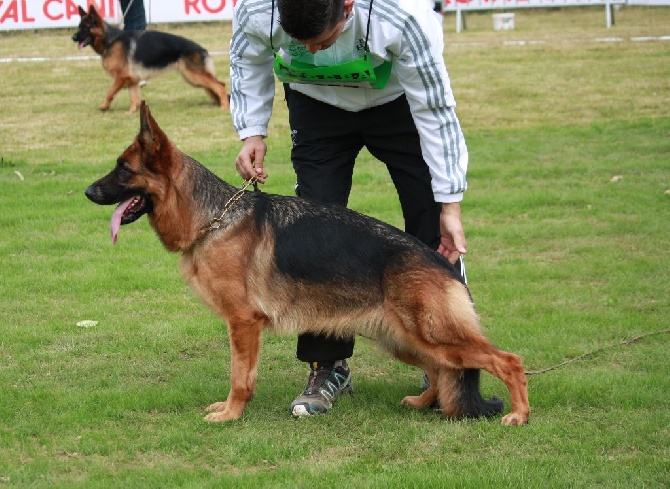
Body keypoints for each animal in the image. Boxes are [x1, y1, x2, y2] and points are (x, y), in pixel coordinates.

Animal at [71, 5, 228, 112]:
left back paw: (224, 106)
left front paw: (104, 106)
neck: (110, 40)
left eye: (85, 27)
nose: (73, 37)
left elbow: (110, 92)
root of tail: (202, 49)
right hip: (192, 78)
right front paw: (131, 113)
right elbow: (134, 98)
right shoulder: (131, 79)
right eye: (79, 26)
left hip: (194, 76)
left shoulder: (121, 77)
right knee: (218, 84)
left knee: (220, 86)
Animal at [86, 102, 532, 424]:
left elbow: (239, 377)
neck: (213, 220)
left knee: (507, 361)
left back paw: (519, 415)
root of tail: (443, 264)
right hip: (403, 339)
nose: (87, 192)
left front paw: (230, 414)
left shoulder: (243, 323)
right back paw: (424, 402)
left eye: (123, 169)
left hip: (432, 336)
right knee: (441, 372)